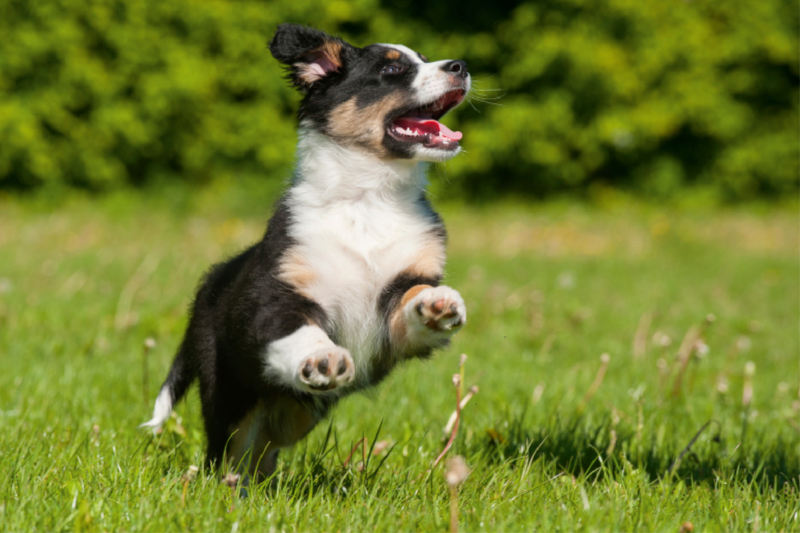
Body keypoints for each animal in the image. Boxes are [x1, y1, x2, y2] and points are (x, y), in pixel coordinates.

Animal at [142, 23, 468, 482]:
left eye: (424, 59)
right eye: (392, 70)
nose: (461, 66)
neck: (367, 198)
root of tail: (206, 287)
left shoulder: (394, 306)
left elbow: (411, 299)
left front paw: (438, 304)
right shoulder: (276, 292)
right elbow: (296, 327)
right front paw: (323, 357)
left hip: (298, 413)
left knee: (264, 446)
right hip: (227, 389)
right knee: (227, 447)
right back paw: (226, 485)